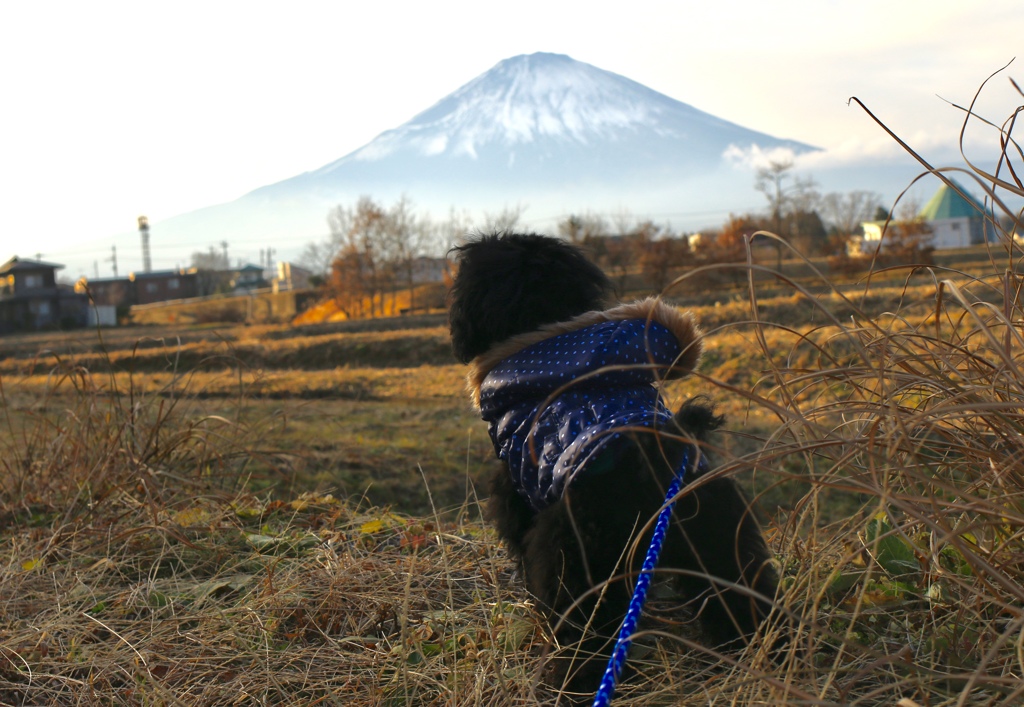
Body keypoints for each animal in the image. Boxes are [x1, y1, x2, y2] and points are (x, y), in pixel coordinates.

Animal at [448, 232, 774, 692]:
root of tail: (652, 459)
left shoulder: (516, 487)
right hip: (717, 538)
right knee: (747, 603)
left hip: (578, 562)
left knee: (581, 638)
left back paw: (566, 685)